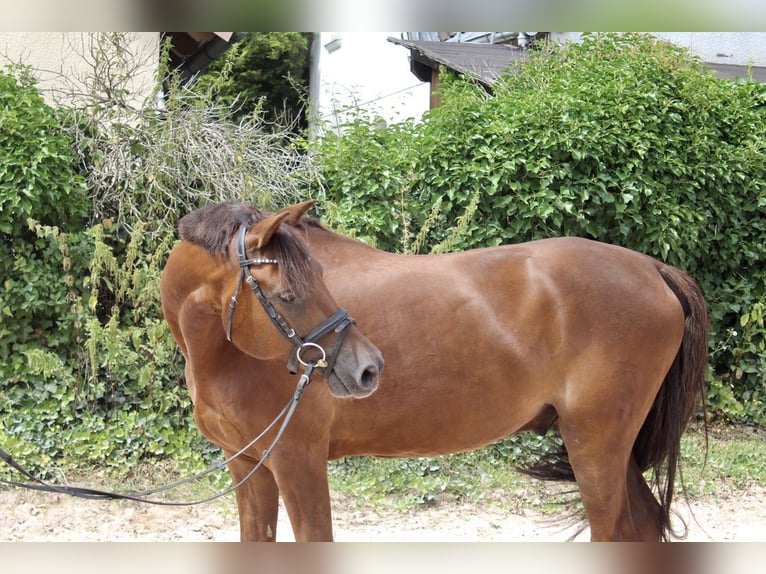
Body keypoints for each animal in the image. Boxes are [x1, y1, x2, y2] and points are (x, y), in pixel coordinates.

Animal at [159, 200, 712, 544]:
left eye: (316, 279)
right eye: (289, 294)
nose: (368, 368)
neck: (224, 356)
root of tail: (653, 269)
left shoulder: (298, 462)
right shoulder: (247, 465)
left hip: (597, 445)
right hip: (611, 448)